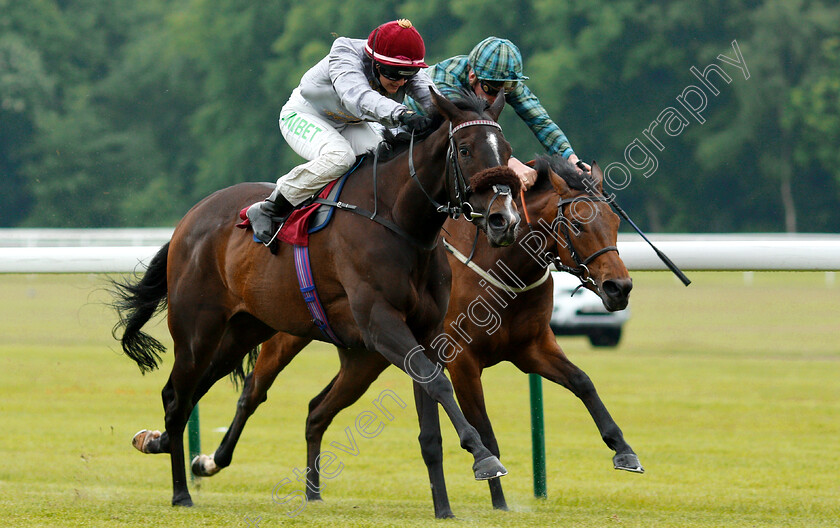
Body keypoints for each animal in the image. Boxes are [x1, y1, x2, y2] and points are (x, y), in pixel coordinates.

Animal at [110, 91, 524, 508]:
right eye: (466, 149)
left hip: (246, 327)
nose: (504, 220)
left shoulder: (426, 331)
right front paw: (484, 457)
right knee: (177, 397)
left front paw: (445, 507)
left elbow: (431, 419)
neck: (399, 221)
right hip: (197, 329)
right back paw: (181, 491)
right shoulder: (380, 323)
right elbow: (438, 384)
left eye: (507, 151)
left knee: (204, 386)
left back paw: (160, 443)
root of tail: (189, 219)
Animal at [192, 155, 644, 516]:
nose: (619, 288)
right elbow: (485, 428)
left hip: (364, 358)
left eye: (615, 222)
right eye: (578, 223)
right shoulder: (462, 361)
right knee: (253, 391)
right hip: (285, 330)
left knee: (317, 409)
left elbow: (583, 382)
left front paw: (624, 449)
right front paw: (498, 498)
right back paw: (209, 461)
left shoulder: (532, 347)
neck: (496, 263)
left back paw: (313, 493)